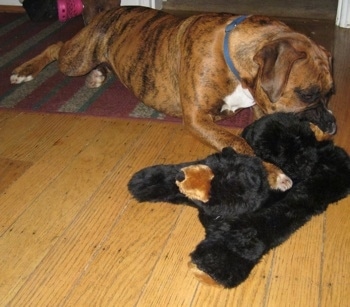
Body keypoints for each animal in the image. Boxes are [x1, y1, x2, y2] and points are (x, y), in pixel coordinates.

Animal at [10, 6, 336, 191]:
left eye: (331, 93)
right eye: (307, 94)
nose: (333, 124)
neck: (234, 55)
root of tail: (104, 12)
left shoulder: (259, 108)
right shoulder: (197, 118)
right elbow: (240, 144)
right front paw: (273, 173)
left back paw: (98, 75)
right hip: (76, 59)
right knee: (55, 46)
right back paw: (25, 71)